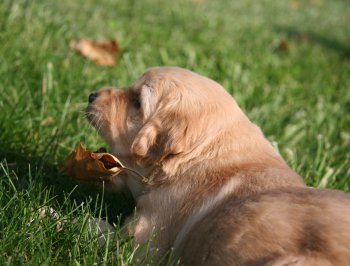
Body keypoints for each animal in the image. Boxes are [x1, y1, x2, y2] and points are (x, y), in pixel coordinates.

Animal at [86, 67, 350, 266]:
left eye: (137, 102)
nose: (91, 95)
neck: (199, 155)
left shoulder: (145, 241)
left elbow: (106, 236)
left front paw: (80, 219)